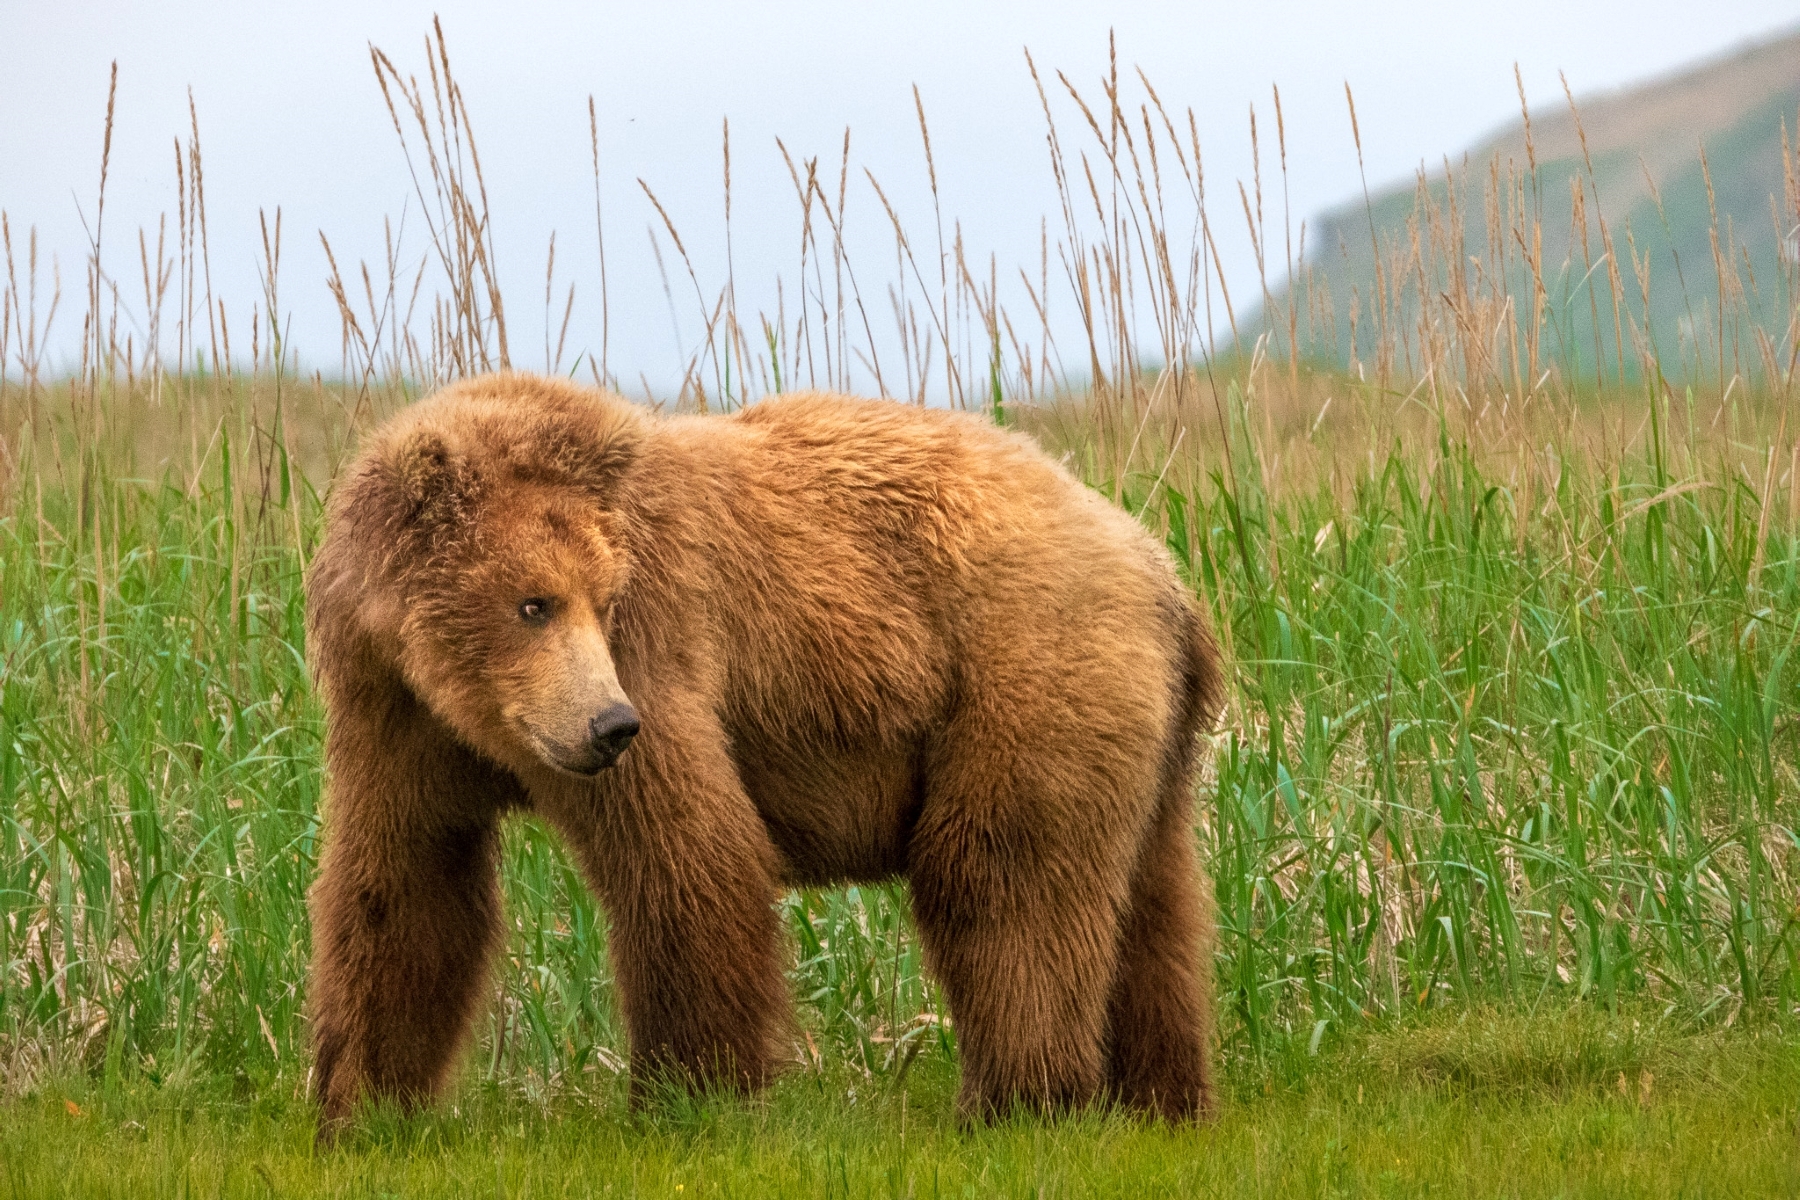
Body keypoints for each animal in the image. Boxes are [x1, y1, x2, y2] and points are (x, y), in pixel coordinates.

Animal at [304, 371, 1224, 1129]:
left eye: (600, 599)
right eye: (534, 603)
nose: (610, 726)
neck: (463, 698)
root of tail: (1161, 570)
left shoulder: (659, 645)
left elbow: (686, 859)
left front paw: (687, 1092)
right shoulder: (394, 718)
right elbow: (405, 887)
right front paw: (359, 1102)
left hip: (1025, 671)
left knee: (1000, 880)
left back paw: (1016, 1100)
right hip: (1140, 734)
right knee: (1154, 904)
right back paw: (1160, 1095)